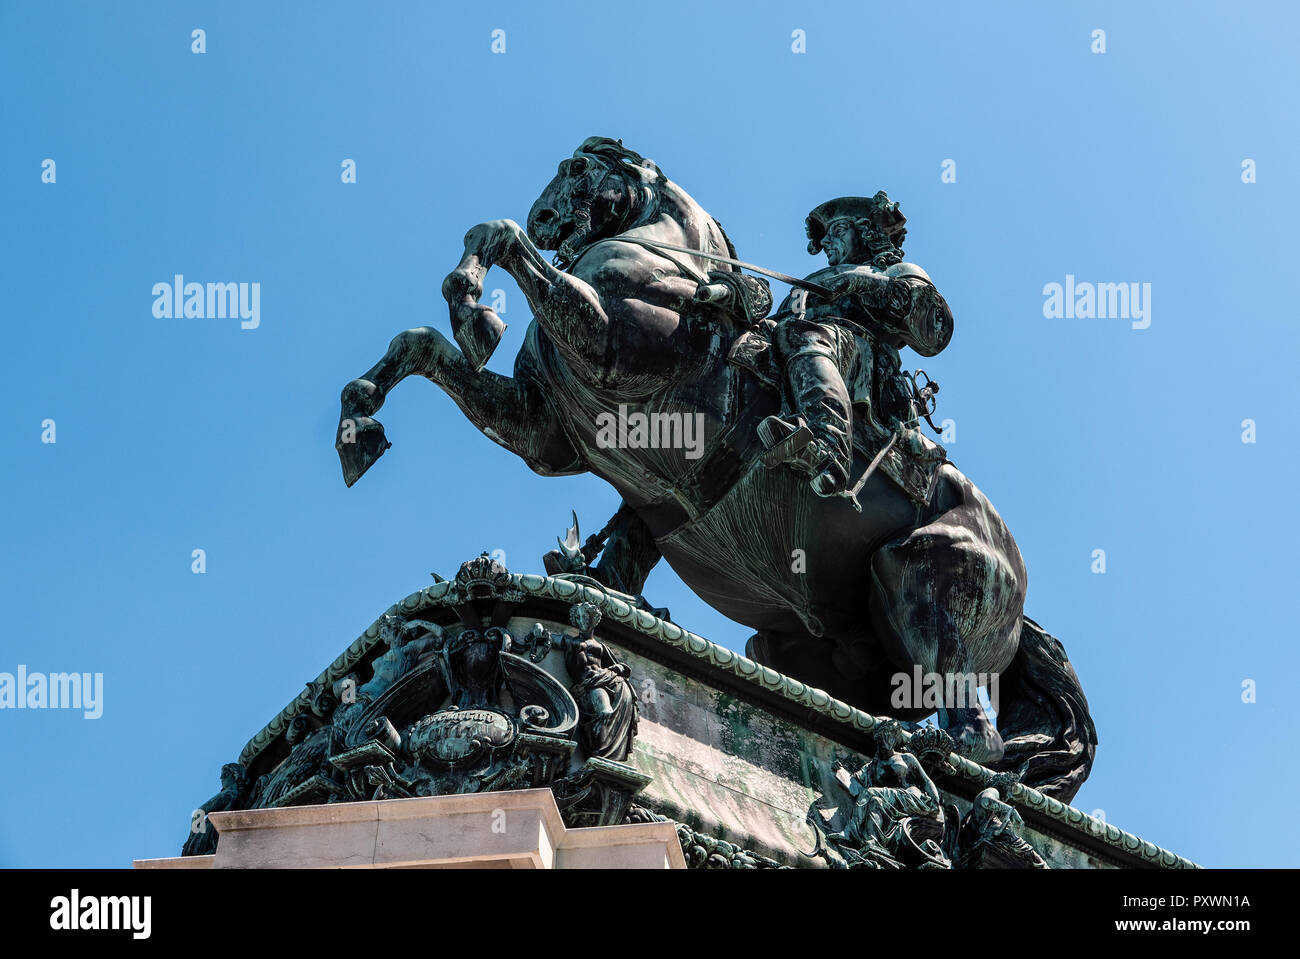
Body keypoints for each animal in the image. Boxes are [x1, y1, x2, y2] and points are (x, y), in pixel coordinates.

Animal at [335, 136, 1097, 800]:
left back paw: (929, 748)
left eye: (578, 168)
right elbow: (421, 341)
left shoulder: (609, 343)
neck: (671, 267)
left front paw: (473, 306)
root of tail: (1018, 590)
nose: (546, 216)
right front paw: (361, 419)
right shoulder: (544, 431)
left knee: (977, 735)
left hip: (924, 572)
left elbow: (500, 240)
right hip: (796, 645)